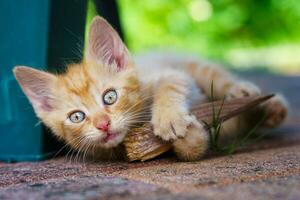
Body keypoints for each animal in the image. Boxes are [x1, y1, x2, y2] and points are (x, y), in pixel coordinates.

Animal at [13, 16, 288, 161]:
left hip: (192, 65)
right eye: (77, 117)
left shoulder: (171, 74)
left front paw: (169, 118)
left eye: (110, 97)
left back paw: (251, 95)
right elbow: (196, 144)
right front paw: (191, 136)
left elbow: (171, 85)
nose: (103, 125)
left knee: (220, 77)